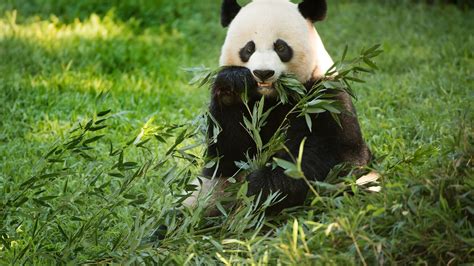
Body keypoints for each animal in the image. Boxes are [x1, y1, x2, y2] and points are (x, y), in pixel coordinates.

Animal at [183, 0, 372, 214]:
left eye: (281, 47)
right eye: (248, 49)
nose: (263, 73)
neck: (272, 97)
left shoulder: (324, 98)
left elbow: (331, 155)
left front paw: (259, 186)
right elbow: (225, 158)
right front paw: (232, 85)